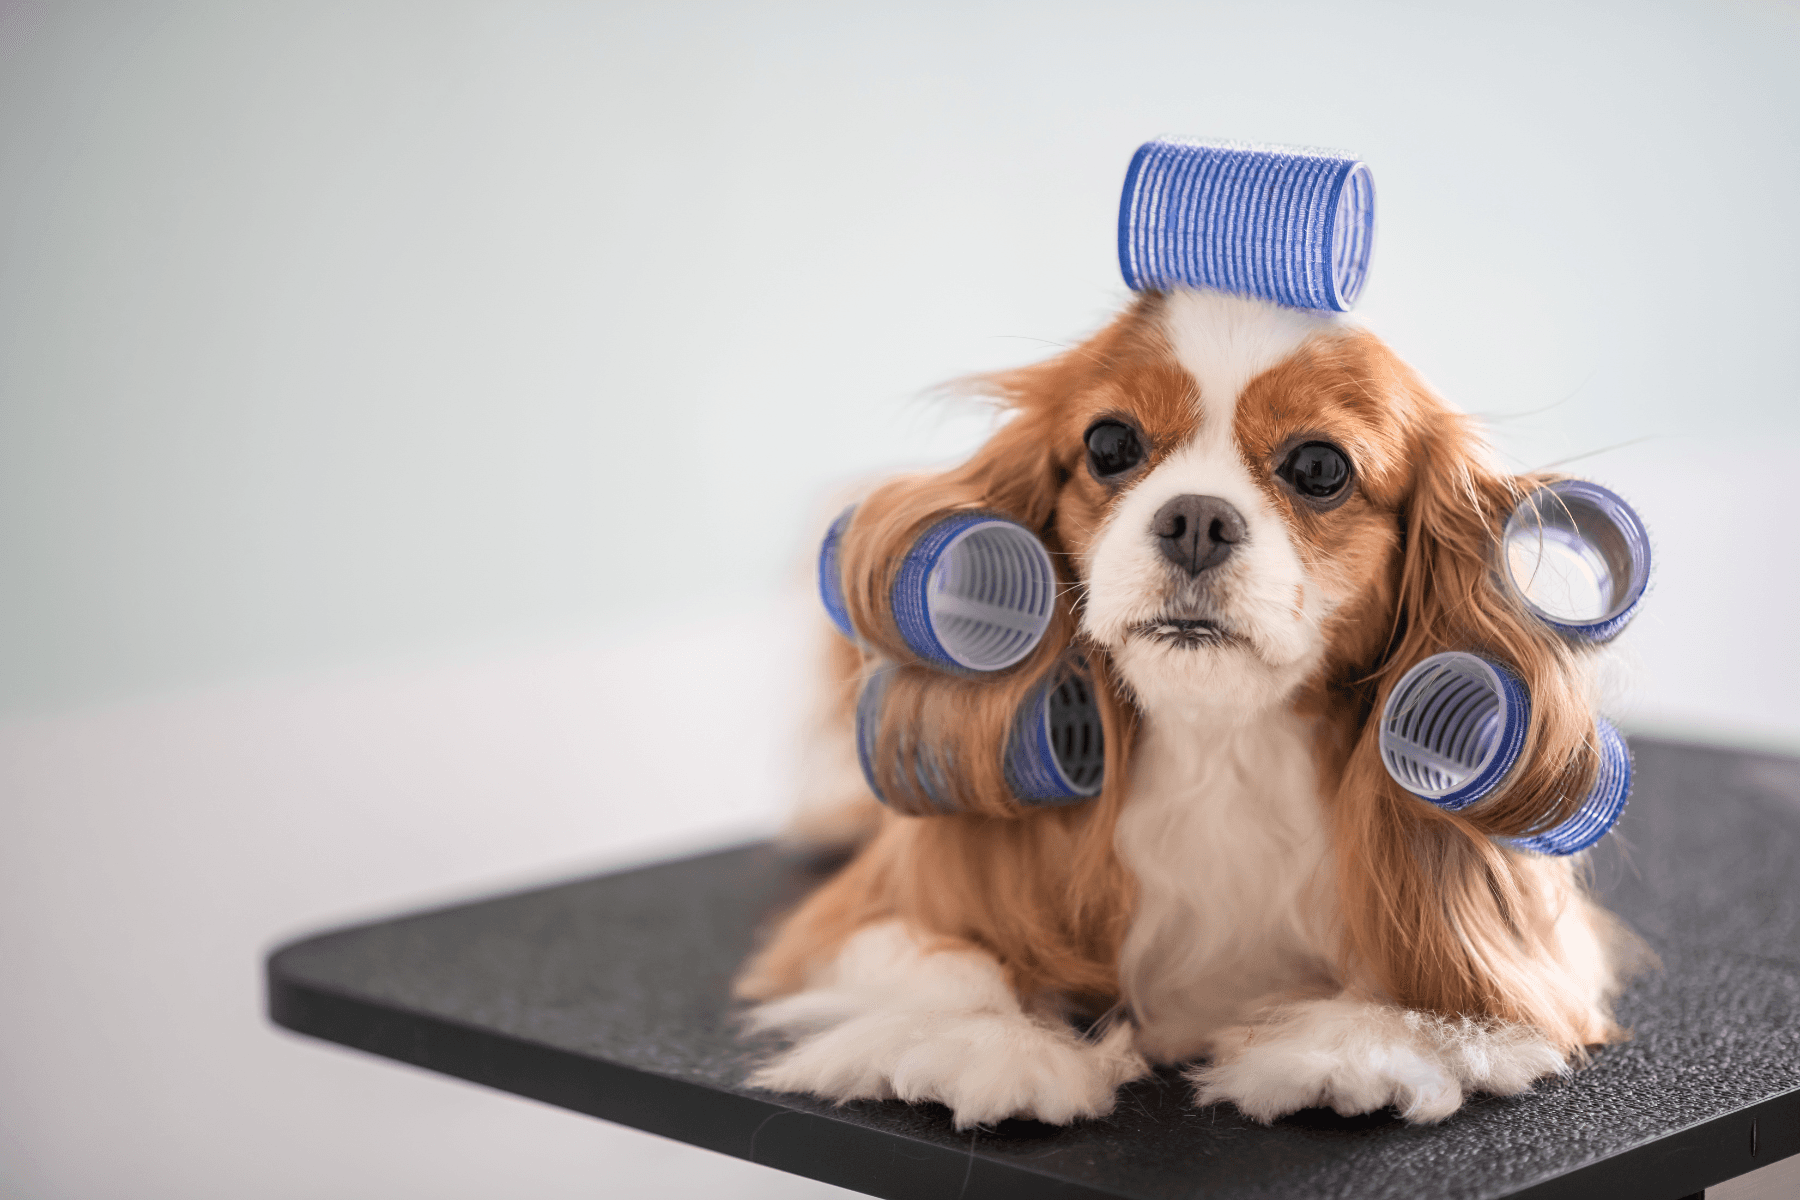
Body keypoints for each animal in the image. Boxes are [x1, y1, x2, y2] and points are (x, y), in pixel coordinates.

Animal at [738, 286, 1641, 1129]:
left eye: (1320, 468)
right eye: (1110, 444)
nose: (1197, 519)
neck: (1220, 747)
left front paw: (1362, 1044)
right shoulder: (854, 921)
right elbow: (952, 964)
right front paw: (995, 1045)